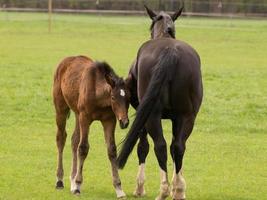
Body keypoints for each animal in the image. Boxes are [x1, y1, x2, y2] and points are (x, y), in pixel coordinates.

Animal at [53, 55, 131, 198]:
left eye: (129, 97)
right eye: (113, 97)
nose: (124, 122)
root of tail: (65, 60)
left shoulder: (109, 120)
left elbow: (112, 150)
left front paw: (119, 188)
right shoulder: (85, 117)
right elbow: (83, 148)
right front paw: (78, 185)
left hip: (77, 113)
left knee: (74, 140)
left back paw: (72, 181)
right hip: (61, 108)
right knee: (61, 138)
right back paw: (60, 181)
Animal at [118, 4, 204, 200]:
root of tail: (171, 51)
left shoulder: (141, 111)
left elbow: (143, 147)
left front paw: (140, 187)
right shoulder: (177, 118)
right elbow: (175, 147)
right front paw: (179, 186)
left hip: (152, 116)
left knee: (160, 146)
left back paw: (163, 191)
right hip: (187, 116)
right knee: (178, 146)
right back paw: (177, 191)